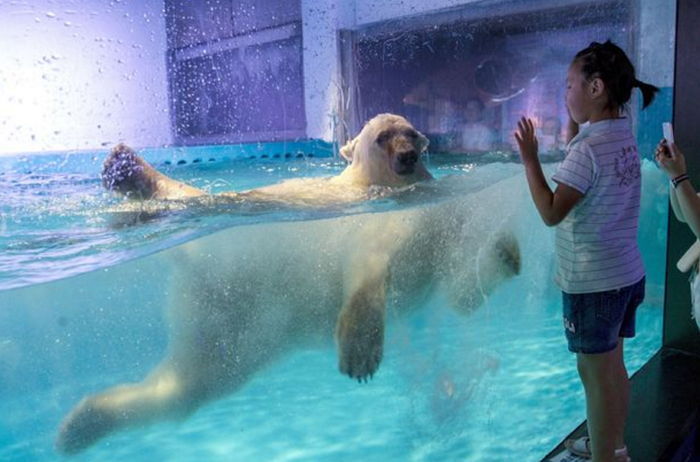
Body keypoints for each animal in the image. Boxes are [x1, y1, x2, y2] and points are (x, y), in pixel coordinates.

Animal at [57, 113, 524, 452]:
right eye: (382, 137)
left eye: (411, 134)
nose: (409, 155)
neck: (383, 190)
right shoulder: (362, 219)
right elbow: (366, 269)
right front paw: (360, 356)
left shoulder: (441, 223)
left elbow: (461, 293)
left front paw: (506, 252)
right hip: (233, 263)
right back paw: (128, 169)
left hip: (233, 323)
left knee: (192, 382)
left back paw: (80, 424)